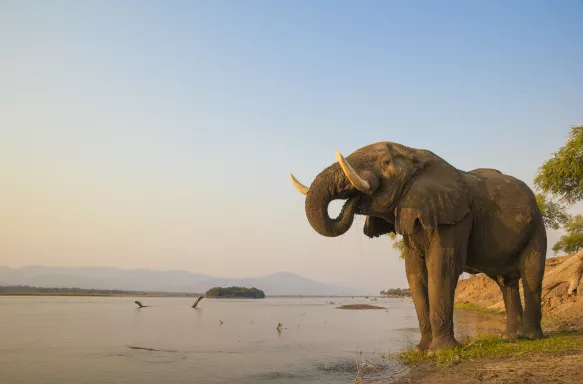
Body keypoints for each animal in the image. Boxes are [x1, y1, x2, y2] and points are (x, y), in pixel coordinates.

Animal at [292, 142, 548, 352]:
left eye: (385, 163)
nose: (354, 200)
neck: (415, 156)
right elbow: (415, 273)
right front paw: (422, 350)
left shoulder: (455, 218)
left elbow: (441, 268)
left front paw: (441, 352)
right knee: (506, 282)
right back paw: (510, 338)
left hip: (537, 226)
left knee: (531, 274)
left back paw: (530, 337)